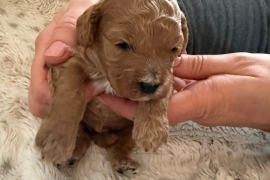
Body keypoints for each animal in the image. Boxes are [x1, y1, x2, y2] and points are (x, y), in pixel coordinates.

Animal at [34, 0, 189, 175]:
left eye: (174, 49)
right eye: (123, 45)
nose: (150, 86)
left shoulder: (169, 78)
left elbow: (161, 95)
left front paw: (152, 131)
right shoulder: (72, 60)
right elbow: (69, 93)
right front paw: (56, 141)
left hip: (128, 130)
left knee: (119, 145)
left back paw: (123, 164)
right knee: (82, 136)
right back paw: (70, 155)